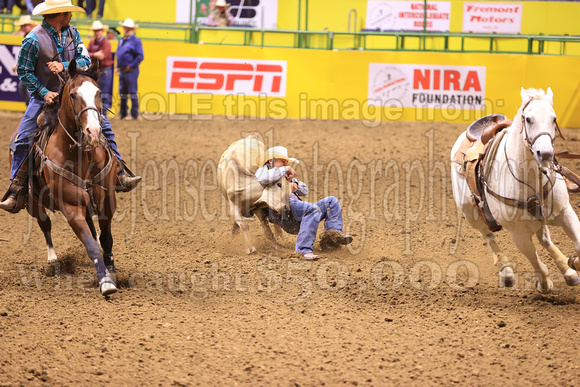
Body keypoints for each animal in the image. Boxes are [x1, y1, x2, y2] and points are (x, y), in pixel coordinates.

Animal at [18, 60, 118, 298]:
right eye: (73, 95)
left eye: (98, 93)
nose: (93, 132)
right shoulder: (71, 207)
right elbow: (90, 245)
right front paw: (105, 281)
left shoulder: (108, 200)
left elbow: (105, 237)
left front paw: (110, 267)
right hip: (33, 202)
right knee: (45, 224)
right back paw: (53, 259)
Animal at [450, 88, 580, 294]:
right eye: (528, 119)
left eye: (554, 118)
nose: (545, 154)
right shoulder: (518, 234)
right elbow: (535, 261)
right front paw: (544, 284)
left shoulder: (565, 211)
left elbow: (578, 245)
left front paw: (572, 263)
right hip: (471, 215)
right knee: (489, 237)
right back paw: (506, 272)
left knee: (544, 238)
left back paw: (567, 271)